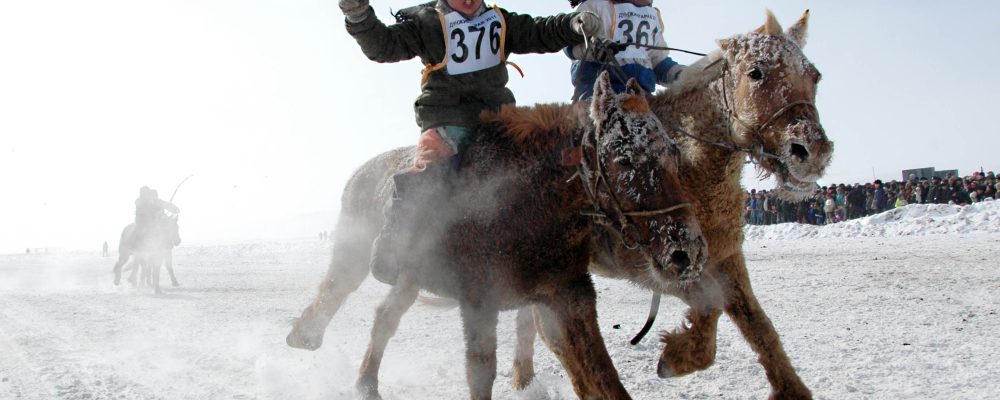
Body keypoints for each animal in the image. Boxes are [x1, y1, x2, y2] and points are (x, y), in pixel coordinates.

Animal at [290, 74, 708, 396]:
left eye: (673, 151)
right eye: (624, 159)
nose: (686, 252)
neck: (528, 205)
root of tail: (359, 172)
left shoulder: (567, 296)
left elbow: (602, 376)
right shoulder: (479, 301)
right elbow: (481, 374)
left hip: (409, 277)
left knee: (384, 318)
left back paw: (365, 383)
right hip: (355, 253)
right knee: (336, 290)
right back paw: (304, 337)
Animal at [512, 10, 832, 400]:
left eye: (814, 75)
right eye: (756, 72)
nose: (812, 152)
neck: (689, 168)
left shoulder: (726, 258)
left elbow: (758, 325)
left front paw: (790, 389)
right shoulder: (655, 265)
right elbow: (710, 306)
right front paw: (676, 356)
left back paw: (525, 380)